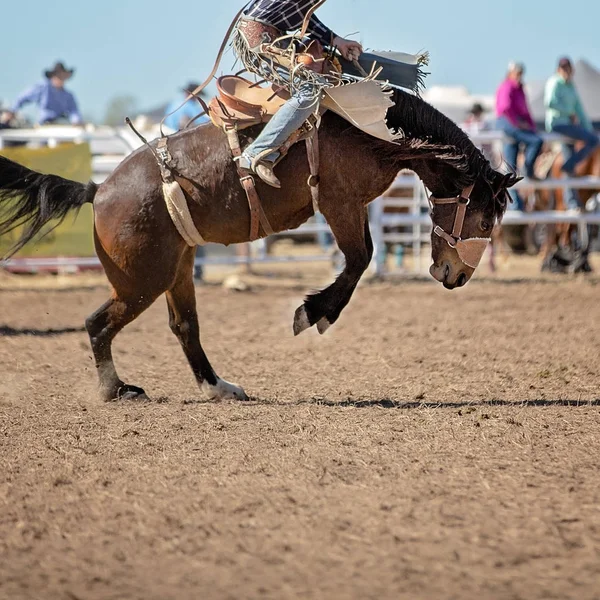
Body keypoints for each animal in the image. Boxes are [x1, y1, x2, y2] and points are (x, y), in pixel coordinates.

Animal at [0, 90, 516, 404]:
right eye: (484, 218)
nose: (458, 276)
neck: (371, 131)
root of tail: (99, 190)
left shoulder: (348, 205)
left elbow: (360, 258)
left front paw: (315, 311)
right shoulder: (339, 201)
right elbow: (360, 259)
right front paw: (313, 313)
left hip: (178, 268)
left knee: (184, 326)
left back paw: (218, 387)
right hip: (141, 280)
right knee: (97, 323)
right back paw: (117, 389)